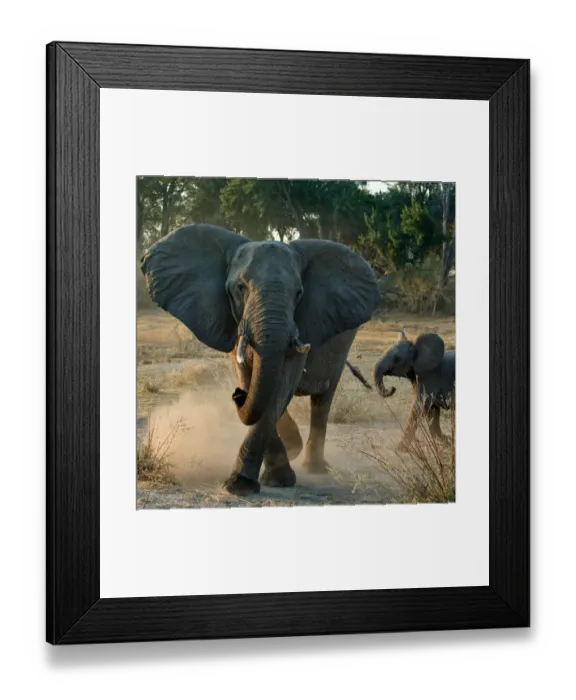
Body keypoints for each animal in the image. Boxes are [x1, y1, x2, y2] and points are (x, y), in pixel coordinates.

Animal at [141, 224, 380, 495]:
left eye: (298, 293)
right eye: (240, 287)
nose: (236, 395)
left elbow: (281, 384)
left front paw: (246, 483)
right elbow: (251, 379)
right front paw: (272, 471)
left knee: (323, 399)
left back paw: (316, 468)